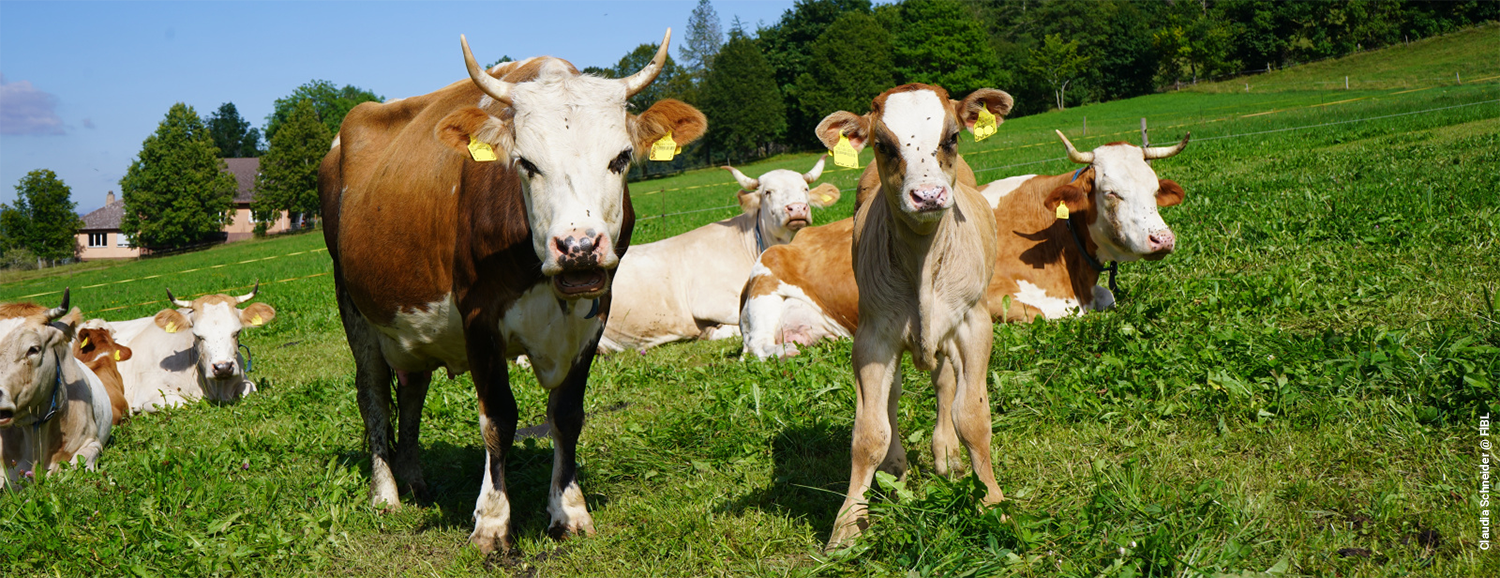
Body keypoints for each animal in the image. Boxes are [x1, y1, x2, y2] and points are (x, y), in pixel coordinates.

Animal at [112, 285, 275, 412]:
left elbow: (250, 389)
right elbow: (184, 403)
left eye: (237, 331)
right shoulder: (150, 394)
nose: (223, 368)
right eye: (197, 335)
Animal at [318, 31, 707, 553]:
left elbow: (566, 415)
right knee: (373, 394)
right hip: (354, 306)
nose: (579, 248)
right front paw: (492, 523)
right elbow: (498, 420)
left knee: (413, 390)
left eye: (621, 158)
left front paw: (569, 510)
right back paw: (387, 493)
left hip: (410, 328)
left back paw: (415, 479)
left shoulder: (594, 315)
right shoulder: (478, 319)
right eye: (526, 164)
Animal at [739, 131, 1190, 359]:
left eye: (1153, 188)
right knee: (756, 350)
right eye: (1110, 192)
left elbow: (1106, 300)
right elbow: (1050, 316)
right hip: (764, 296)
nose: (1162, 239)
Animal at [814, 83, 1014, 550]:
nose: (928, 197)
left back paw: (947, 454)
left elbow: (973, 417)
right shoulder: (872, 339)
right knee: (893, 396)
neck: (922, 263)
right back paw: (896, 466)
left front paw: (992, 501)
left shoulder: (974, 325)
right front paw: (848, 525)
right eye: (883, 145)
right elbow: (869, 433)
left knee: (945, 385)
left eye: (952, 137)